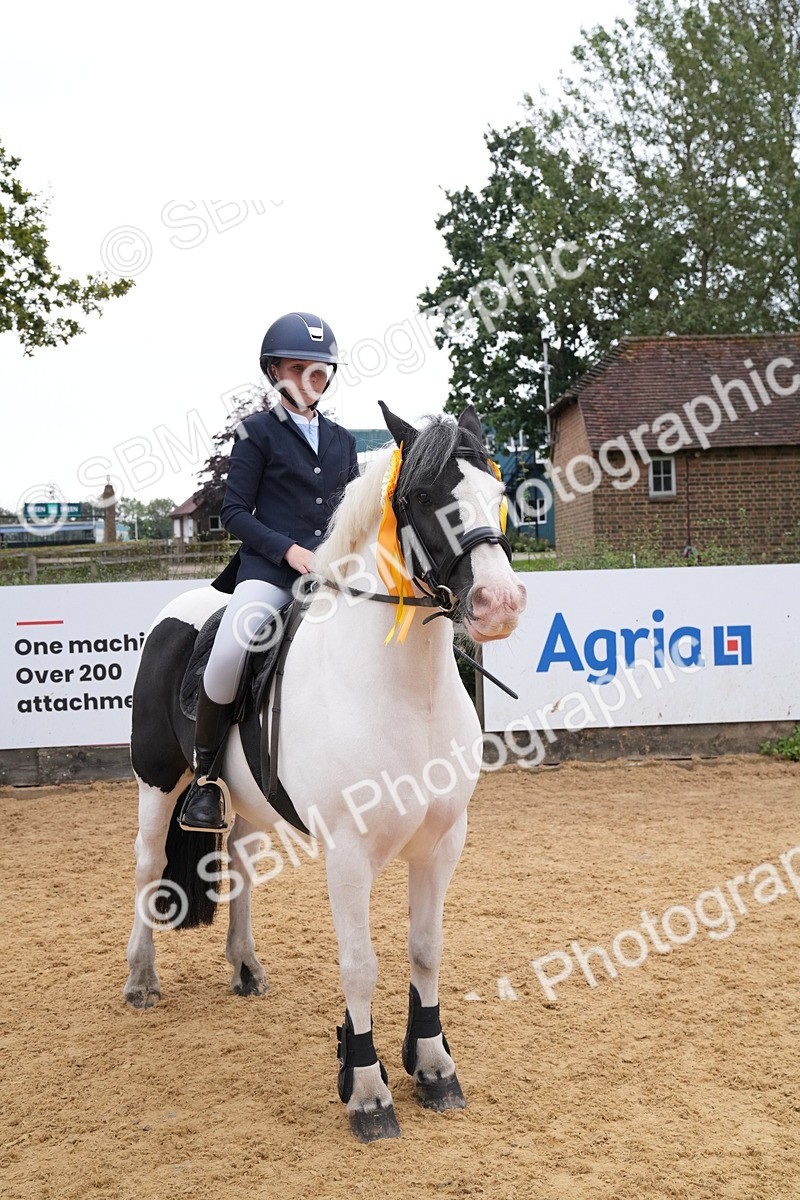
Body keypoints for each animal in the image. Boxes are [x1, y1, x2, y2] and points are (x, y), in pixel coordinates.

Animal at [124, 401, 527, 1142]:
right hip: (157, 782)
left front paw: (434, 1068)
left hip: (246, 803)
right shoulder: (349, 852)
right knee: (146, 866)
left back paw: (246, 968)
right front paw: (366, 1091)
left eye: (497, 492)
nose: (500, 604)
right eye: (424, 498)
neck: (407, 690)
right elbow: (360, 965)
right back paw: (140, 980)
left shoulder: (443, 842)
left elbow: (426, 949)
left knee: (240, 863)